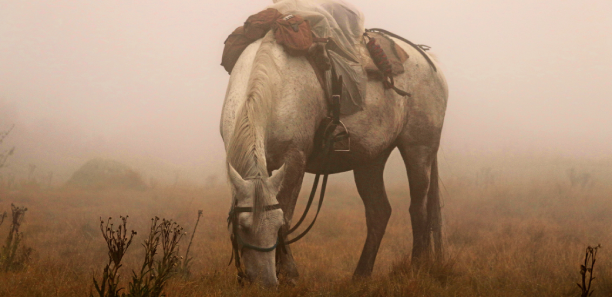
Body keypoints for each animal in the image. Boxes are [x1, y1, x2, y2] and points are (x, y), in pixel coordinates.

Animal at [221, 29, 450, 284]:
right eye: (242, 227)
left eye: (275, 225)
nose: (267, 282)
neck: (274, 85)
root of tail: (430, 63)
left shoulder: (294, 160)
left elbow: (288, 214)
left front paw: (290, 274)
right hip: (371, 160)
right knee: (379, 212)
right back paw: (360, 275)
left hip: (419, 149)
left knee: (418, 208)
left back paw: (416, 267)